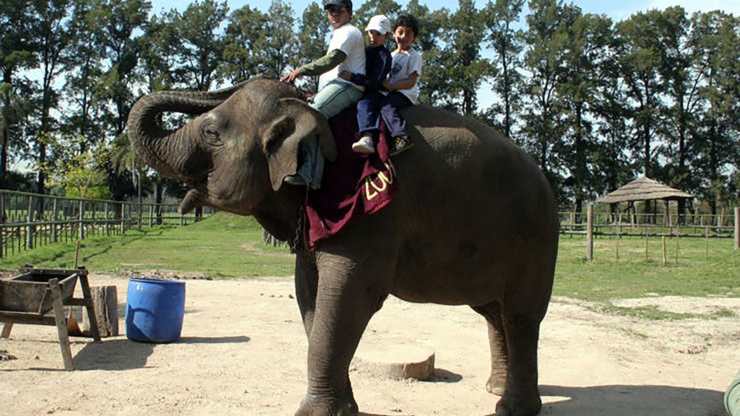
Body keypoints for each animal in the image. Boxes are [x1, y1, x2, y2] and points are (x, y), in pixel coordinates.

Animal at [129, 79, 556, 416]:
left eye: (211, 133)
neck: (313, 114)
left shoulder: (369, 215)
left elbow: (350, 295)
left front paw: (312, 414)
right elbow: (310, 294)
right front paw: (343, 410)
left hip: (535, 239)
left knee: (520, 315)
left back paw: (511, 408)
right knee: (493, 313)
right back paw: (494, 389)